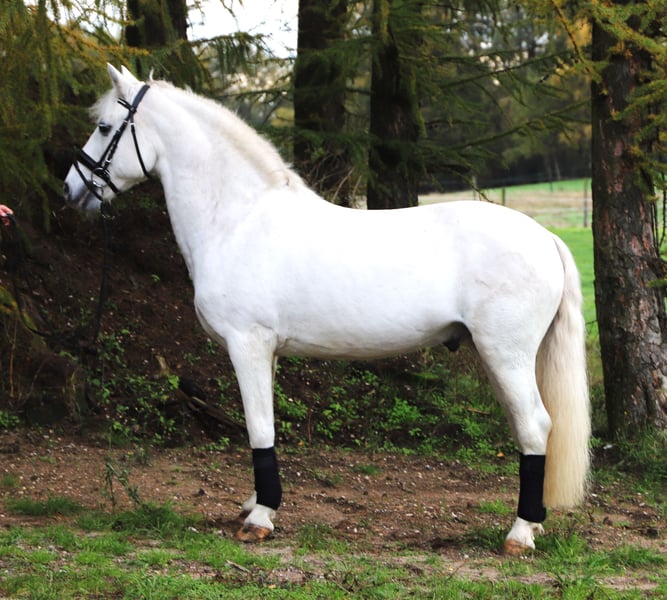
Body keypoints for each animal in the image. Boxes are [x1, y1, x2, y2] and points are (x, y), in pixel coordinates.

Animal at [63, 65, 590, 555]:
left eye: (105, 127)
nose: (71, 189)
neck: (238, 220)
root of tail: (545, 236)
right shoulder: (268, 352)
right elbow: (266, 423)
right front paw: (255, 504)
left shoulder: (247, 345)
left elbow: (258, 426)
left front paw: (261, 518)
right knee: (529, 428)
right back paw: (534, 523)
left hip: (506, 355)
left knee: (534, 426)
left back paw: (520, 533)